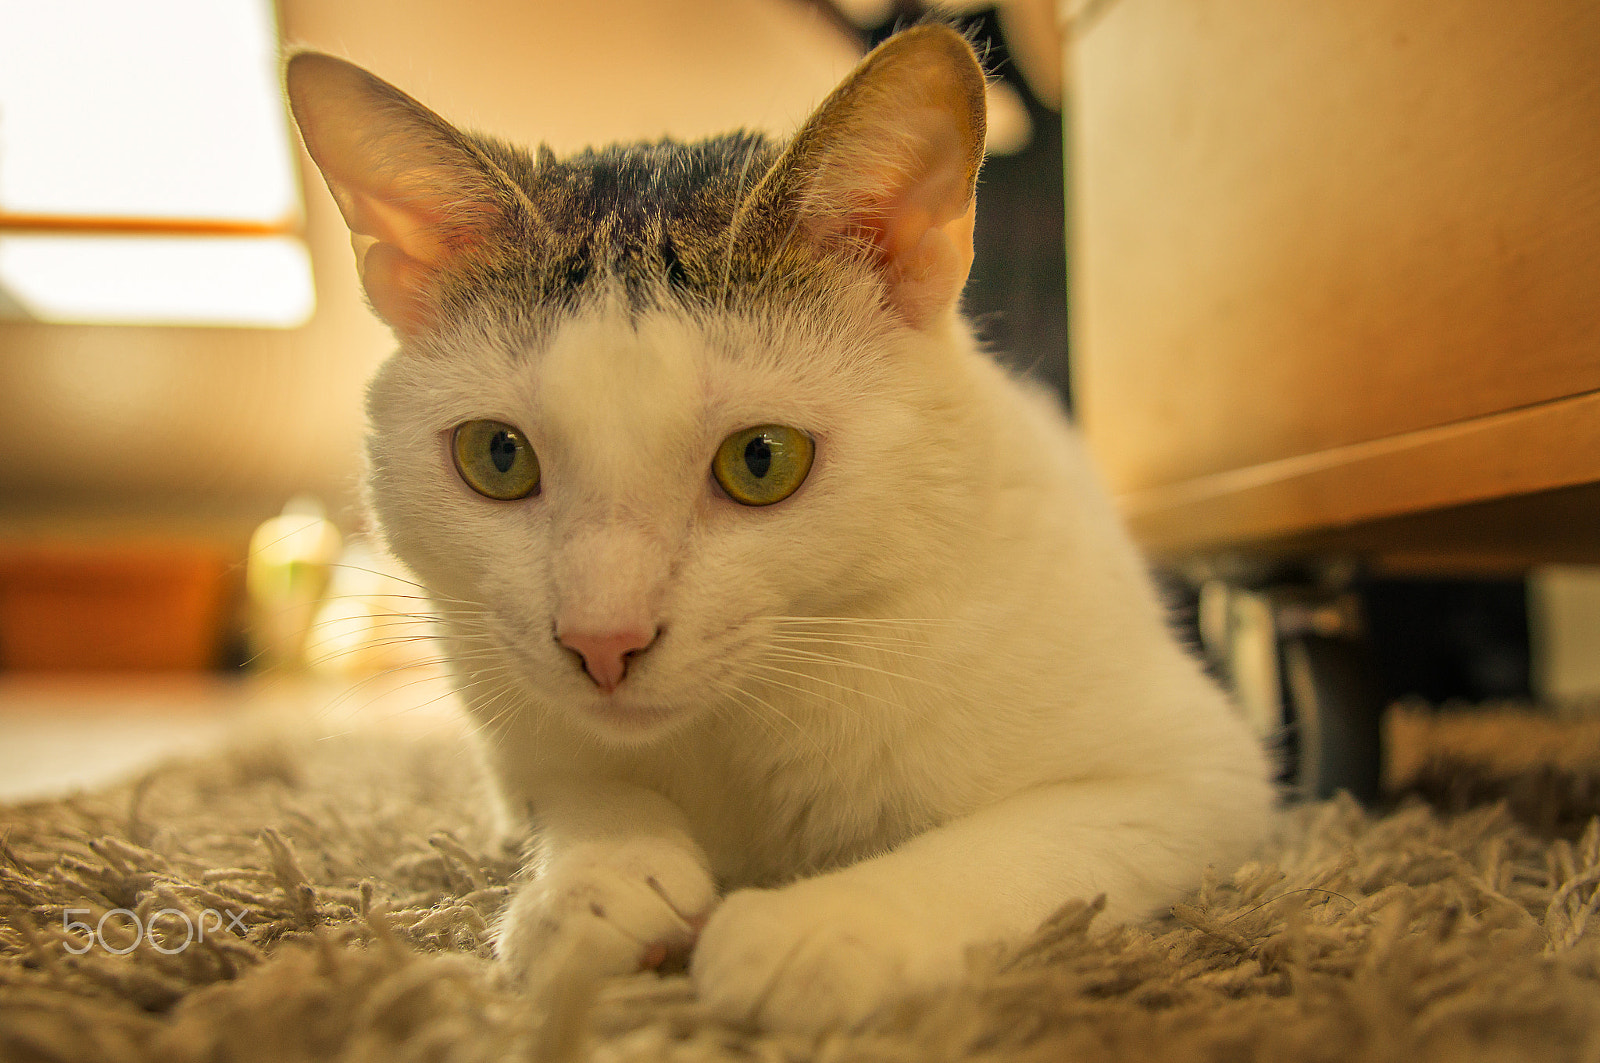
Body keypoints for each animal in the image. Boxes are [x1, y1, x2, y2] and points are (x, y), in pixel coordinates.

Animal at [284, 24, 1273, 1030]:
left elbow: (1011, 847)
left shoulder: (1198, 771)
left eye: (762, 461)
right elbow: (574, 786)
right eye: (497, 456)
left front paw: (831, 922)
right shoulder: (513, 740)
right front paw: (593, 883)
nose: (603, 641)